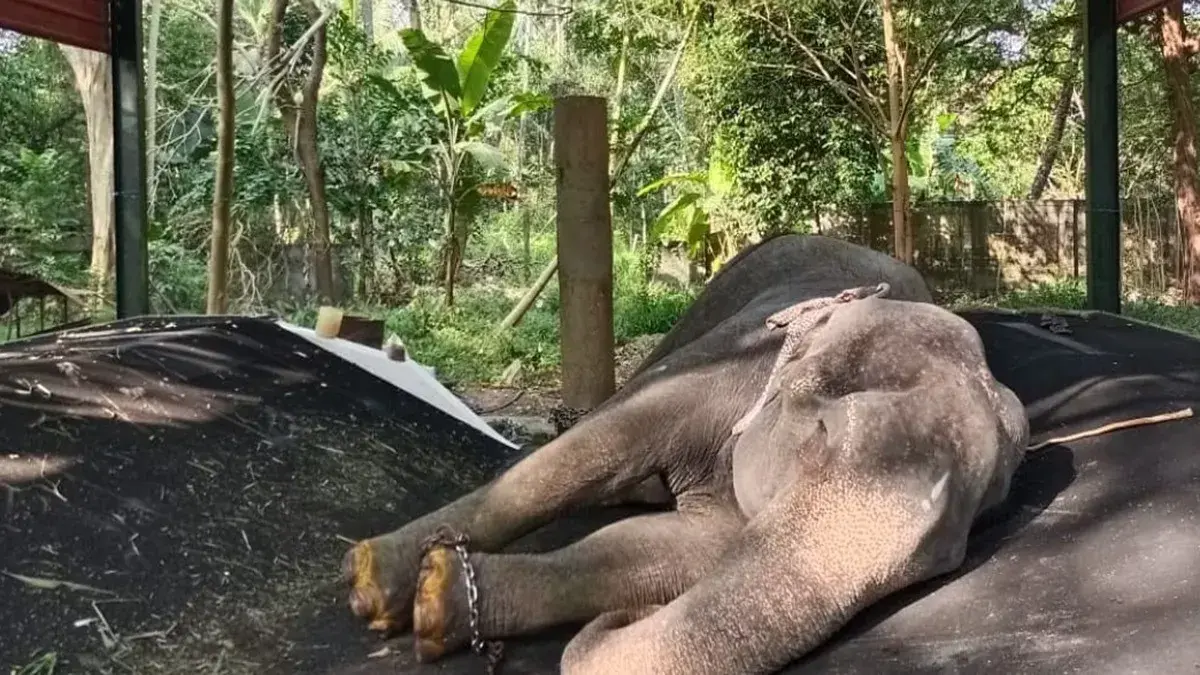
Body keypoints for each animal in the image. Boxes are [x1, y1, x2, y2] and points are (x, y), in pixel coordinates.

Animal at [340, 233, 1030, 674]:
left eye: (949, 552)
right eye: (823, 433)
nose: (623, 619)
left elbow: (675, 550)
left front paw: (436, 602)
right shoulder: (726, 360)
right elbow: (599, 448)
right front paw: (373, 582)